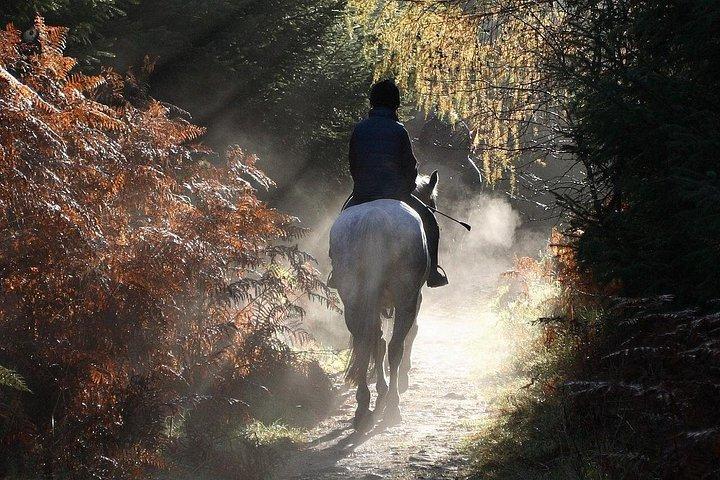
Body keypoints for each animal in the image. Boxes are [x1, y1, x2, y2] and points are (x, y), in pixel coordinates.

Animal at [329, 171, 438, 431]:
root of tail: (373, 218)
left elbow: (376, 341)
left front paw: (381, 388)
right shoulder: (415, 298)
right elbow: (410, 333)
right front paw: (399, 380)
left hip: (353, 300)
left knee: (366, 343)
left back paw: (363, 408)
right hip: (406, 297)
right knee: (395, 346)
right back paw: (393, 406)